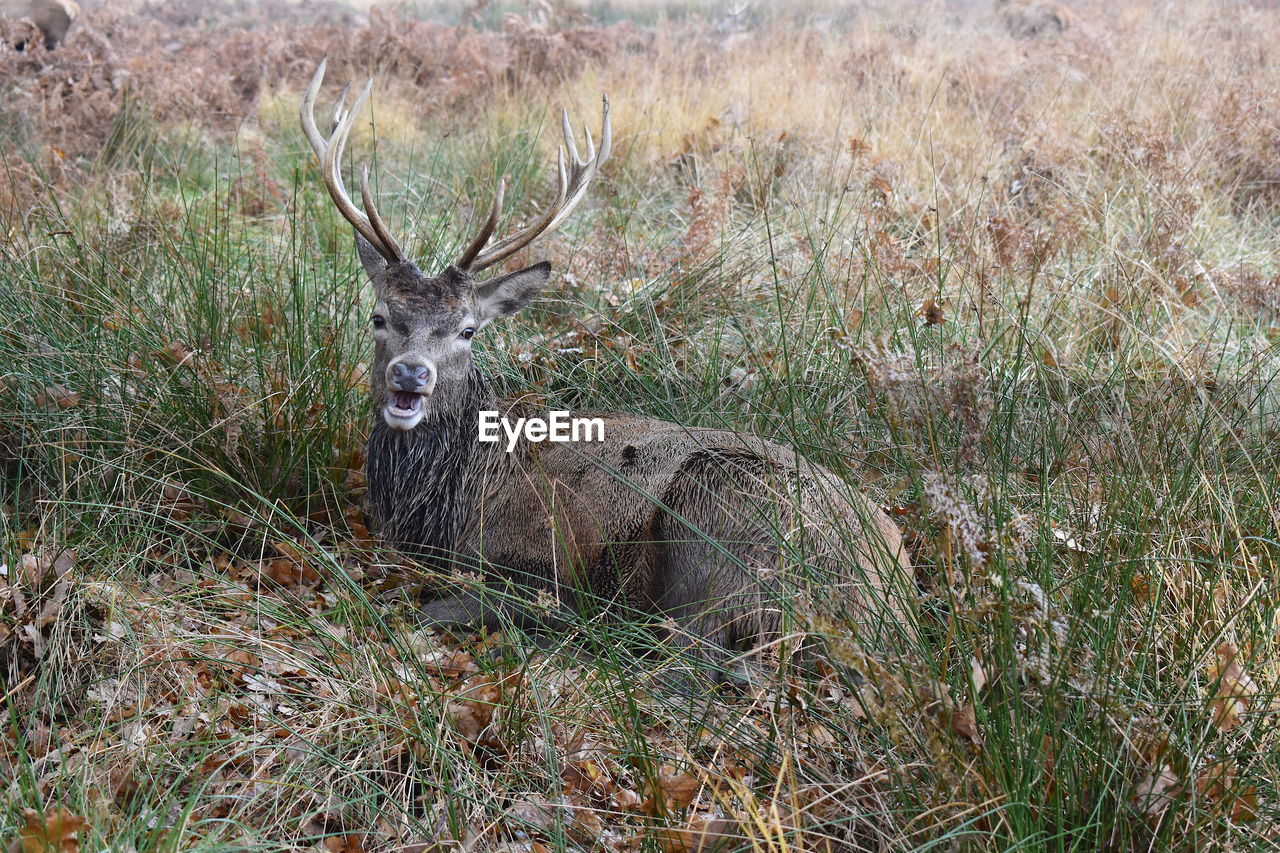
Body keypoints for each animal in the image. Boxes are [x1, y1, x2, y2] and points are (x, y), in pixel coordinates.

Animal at [302, 58, 921, 686]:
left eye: (468, 329)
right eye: (379, 316)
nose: (410, 374)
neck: (454, 499)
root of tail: (890, 603)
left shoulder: (533, 561)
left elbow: (437, 607)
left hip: (724, 525)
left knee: (695, 661)